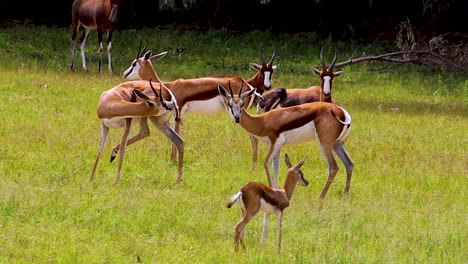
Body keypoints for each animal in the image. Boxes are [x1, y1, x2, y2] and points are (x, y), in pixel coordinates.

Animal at [219, 81, 354, 199]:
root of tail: (342, 113)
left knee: (333, 166)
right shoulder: (278, 147)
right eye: (230, 104)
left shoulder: (275, 143)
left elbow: (266, 163)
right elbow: (276, 167)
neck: (261, 121)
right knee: (349, 164)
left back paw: (321, 197)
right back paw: (346, 196)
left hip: (324, 144)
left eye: (241, 104)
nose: (237, 118)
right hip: (338, 144)